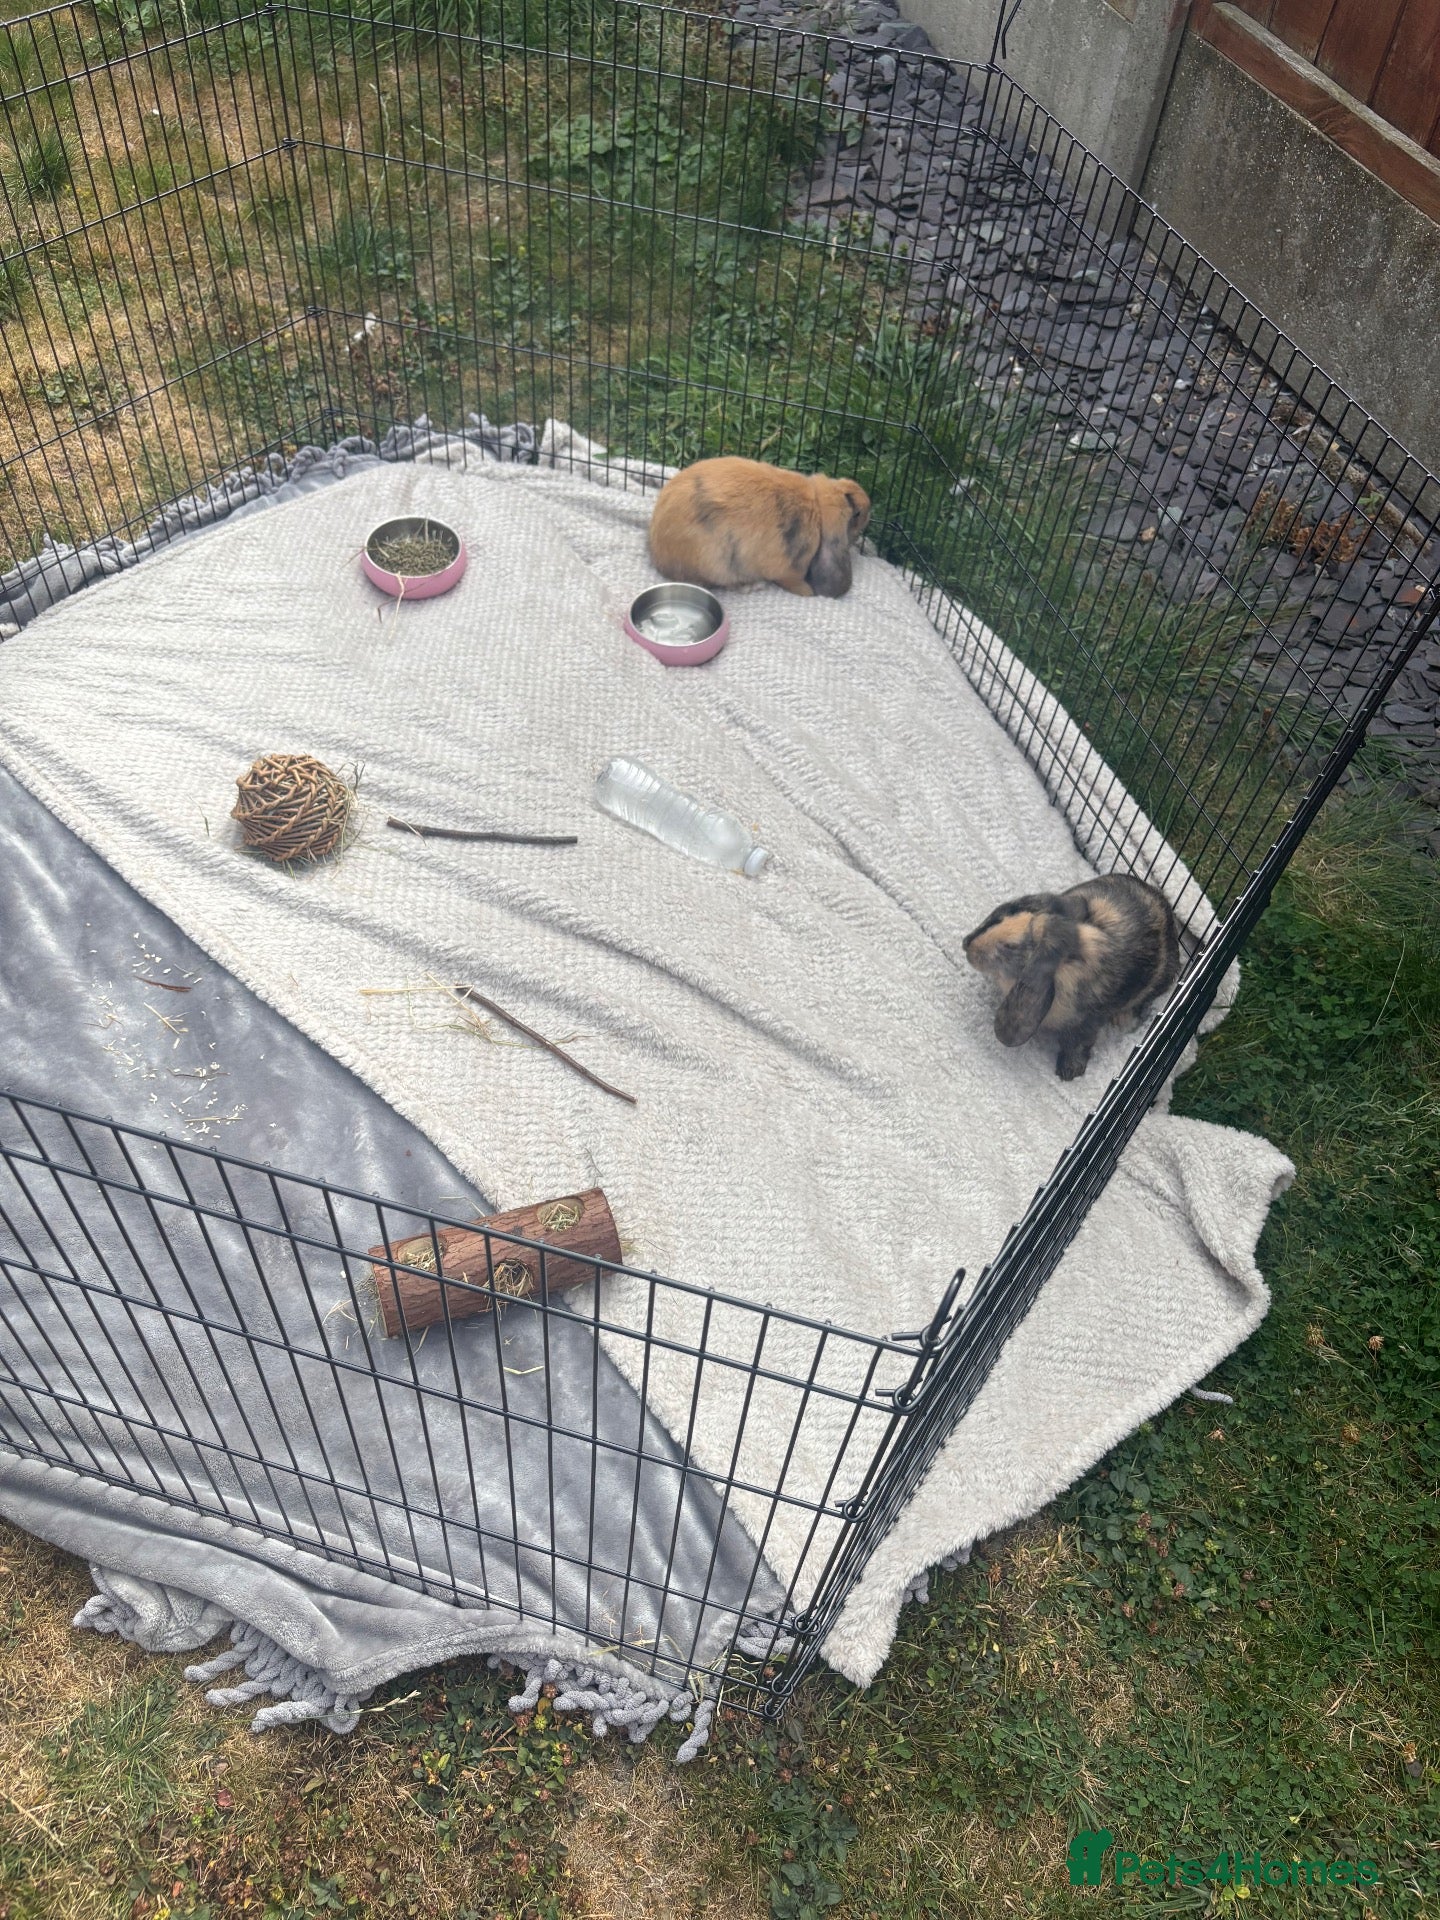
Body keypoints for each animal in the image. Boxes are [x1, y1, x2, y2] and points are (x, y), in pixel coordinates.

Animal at [647, 456, 871, 599]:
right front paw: (807, 592)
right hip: (716, 562)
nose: (869, 504)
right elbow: (791, 580)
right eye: (857, 514)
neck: (818, 507)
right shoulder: (789, 570)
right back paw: (752, 585)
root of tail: (658, 555)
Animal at [962, 874, 1180, 1080]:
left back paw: (1123, 1019)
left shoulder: (1088, 1022)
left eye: (1010, 946)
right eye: (1007, 912)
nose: (967, 944)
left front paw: (1069, 1072)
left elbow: (1079, 1043)